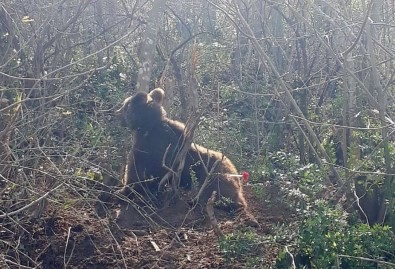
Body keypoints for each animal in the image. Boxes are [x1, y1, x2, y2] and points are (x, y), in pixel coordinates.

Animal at [117, 87, 252, 215]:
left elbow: (135, 174)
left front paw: (122, 192)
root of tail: (237, 174)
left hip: (215, 176)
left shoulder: (146, 150)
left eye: (125, 105)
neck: (148, 126)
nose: (116, 112)